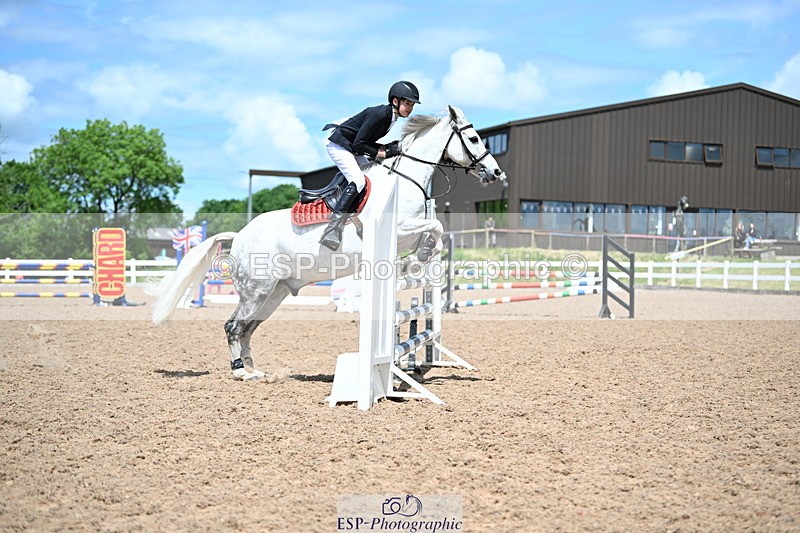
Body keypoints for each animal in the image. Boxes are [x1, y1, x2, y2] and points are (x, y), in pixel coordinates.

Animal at [152, 105, 507, 381]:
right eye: (474, 138)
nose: (496, 173)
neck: (405, 179)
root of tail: (238, 235)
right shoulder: (399, 226)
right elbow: (434, 225)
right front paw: (420, 255)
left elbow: (435, 228)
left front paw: (421, 255)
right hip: (256, 290)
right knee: (233, 326)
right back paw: (241, 371)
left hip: (273, 293)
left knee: (248, 328)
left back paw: (255, 369)